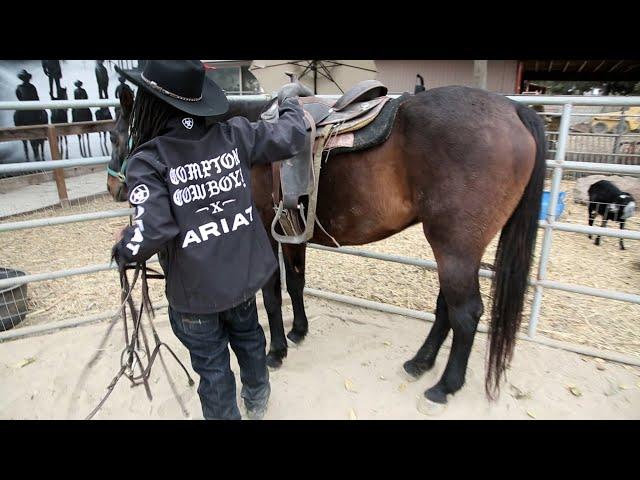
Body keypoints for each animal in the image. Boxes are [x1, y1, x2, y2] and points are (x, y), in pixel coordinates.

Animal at [105, 86, 544, 408]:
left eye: (117, 133)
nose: (113, 187)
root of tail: (512, 110)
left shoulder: (267, 232)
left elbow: (271, 295)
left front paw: (276, 350)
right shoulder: (291, 229)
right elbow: (296, 283)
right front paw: (298, 331)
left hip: (454, 248)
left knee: (465, 314)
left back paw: (444, 386)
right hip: (456, 249)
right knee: (446, 310)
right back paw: (420, 363)